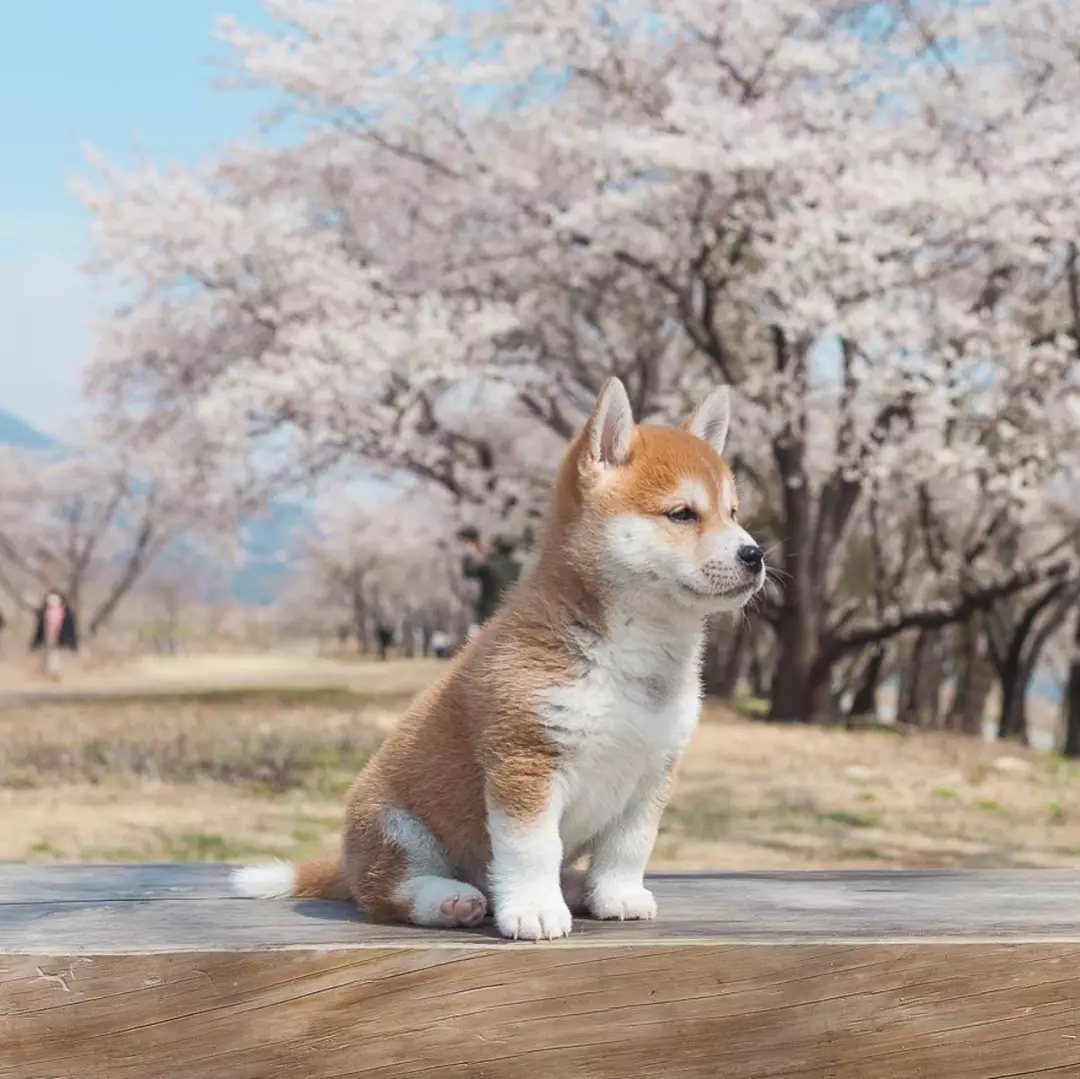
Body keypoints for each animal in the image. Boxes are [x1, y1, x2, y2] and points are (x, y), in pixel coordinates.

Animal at [232, 378, 764, 937]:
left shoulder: (651, 774)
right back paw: (450, 899)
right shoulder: (524, 759)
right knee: (385, 891)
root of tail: (347, 861)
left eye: (733, 514)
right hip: (395, 825)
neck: (633, 651)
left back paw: (577, 887)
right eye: (682, 514)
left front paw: (616, 894)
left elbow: (628, 848)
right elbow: (533, 850)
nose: (755, 554)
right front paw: (533, 909)